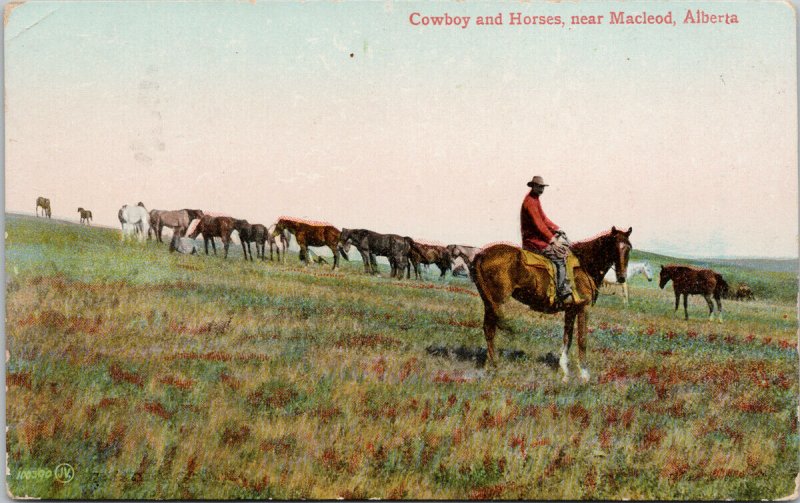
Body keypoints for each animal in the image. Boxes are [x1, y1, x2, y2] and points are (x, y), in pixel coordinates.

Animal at [468, 226, 632, 384]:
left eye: (629, 248)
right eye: (614, 247)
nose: (622, 278)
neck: (584, 265)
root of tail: (482, 254)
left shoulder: (570, 310)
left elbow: (567, 339)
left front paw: (564, 371)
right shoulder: (583, 308)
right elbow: (582, 340)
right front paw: (584, 375)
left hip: (489, 303)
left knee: (488, 330)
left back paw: (490, 364)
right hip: (496, 301)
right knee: (490, 329)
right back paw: (495, 365)